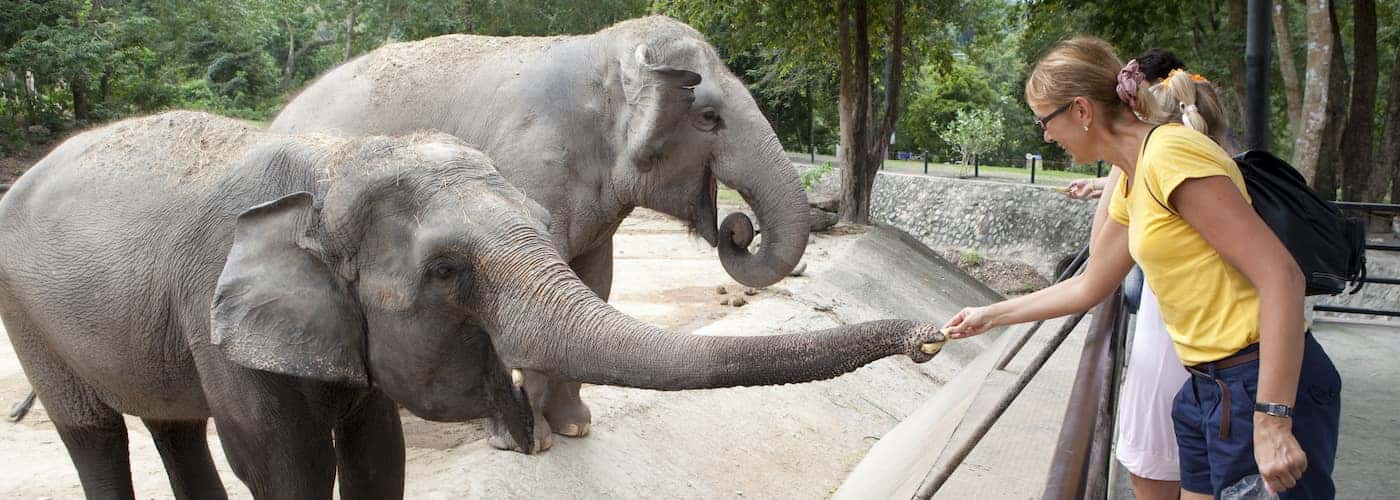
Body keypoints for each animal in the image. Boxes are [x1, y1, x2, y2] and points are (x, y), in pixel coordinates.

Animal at [0, 111, 946, 495]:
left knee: (172, 426)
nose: (935, 336)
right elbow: (284, 466)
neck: (331, 164)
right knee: (96, 433)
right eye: (450, 270)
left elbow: (379, 456)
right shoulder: (216, 311)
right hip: (28, 317)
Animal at [268, 13, 817, 450]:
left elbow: (595, 282)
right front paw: (531, 442)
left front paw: (576, 428)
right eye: (709, 117)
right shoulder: (528, 168)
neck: (603, 52)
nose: (737, 230)